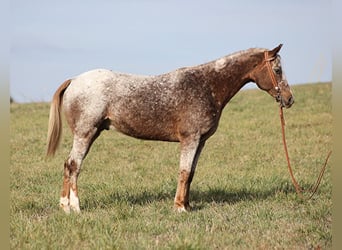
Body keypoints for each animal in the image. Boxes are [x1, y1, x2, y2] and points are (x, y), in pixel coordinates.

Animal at [46, 43, 294, 213]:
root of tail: (74, 80)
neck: (207, 85)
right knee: (73, 165)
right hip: (85, 134)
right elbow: (183, 172)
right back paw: (75, 207)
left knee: (67, 165)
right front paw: (179, 208)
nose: (289, 99)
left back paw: (64, 206)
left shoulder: (200, 142)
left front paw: (188, 205)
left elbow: (191, 173)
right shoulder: (190, 139)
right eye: (278, 70)